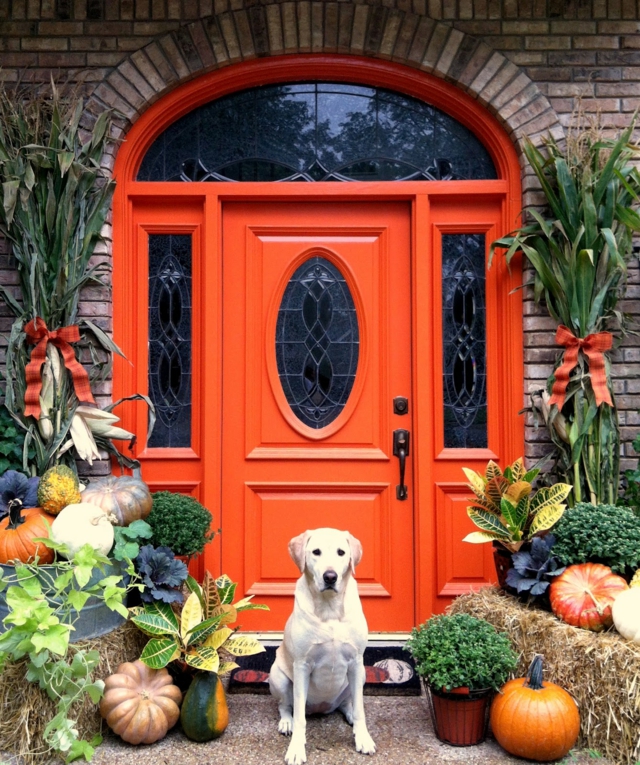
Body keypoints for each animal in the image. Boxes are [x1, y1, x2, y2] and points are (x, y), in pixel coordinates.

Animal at [268, 528, 376, 764]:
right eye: (316, 552)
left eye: (341, 552)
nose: (330, 577)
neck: (330, 608)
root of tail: (320, 708)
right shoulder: (302, 665)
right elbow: (300, 717)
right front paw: (296, 749)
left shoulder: (356, 662)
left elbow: (361, 709)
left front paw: (363, 738)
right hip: (277, 676)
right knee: (285, 706)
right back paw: (286, 722)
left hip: (361, 675)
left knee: (347, 703)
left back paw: (350, 715)